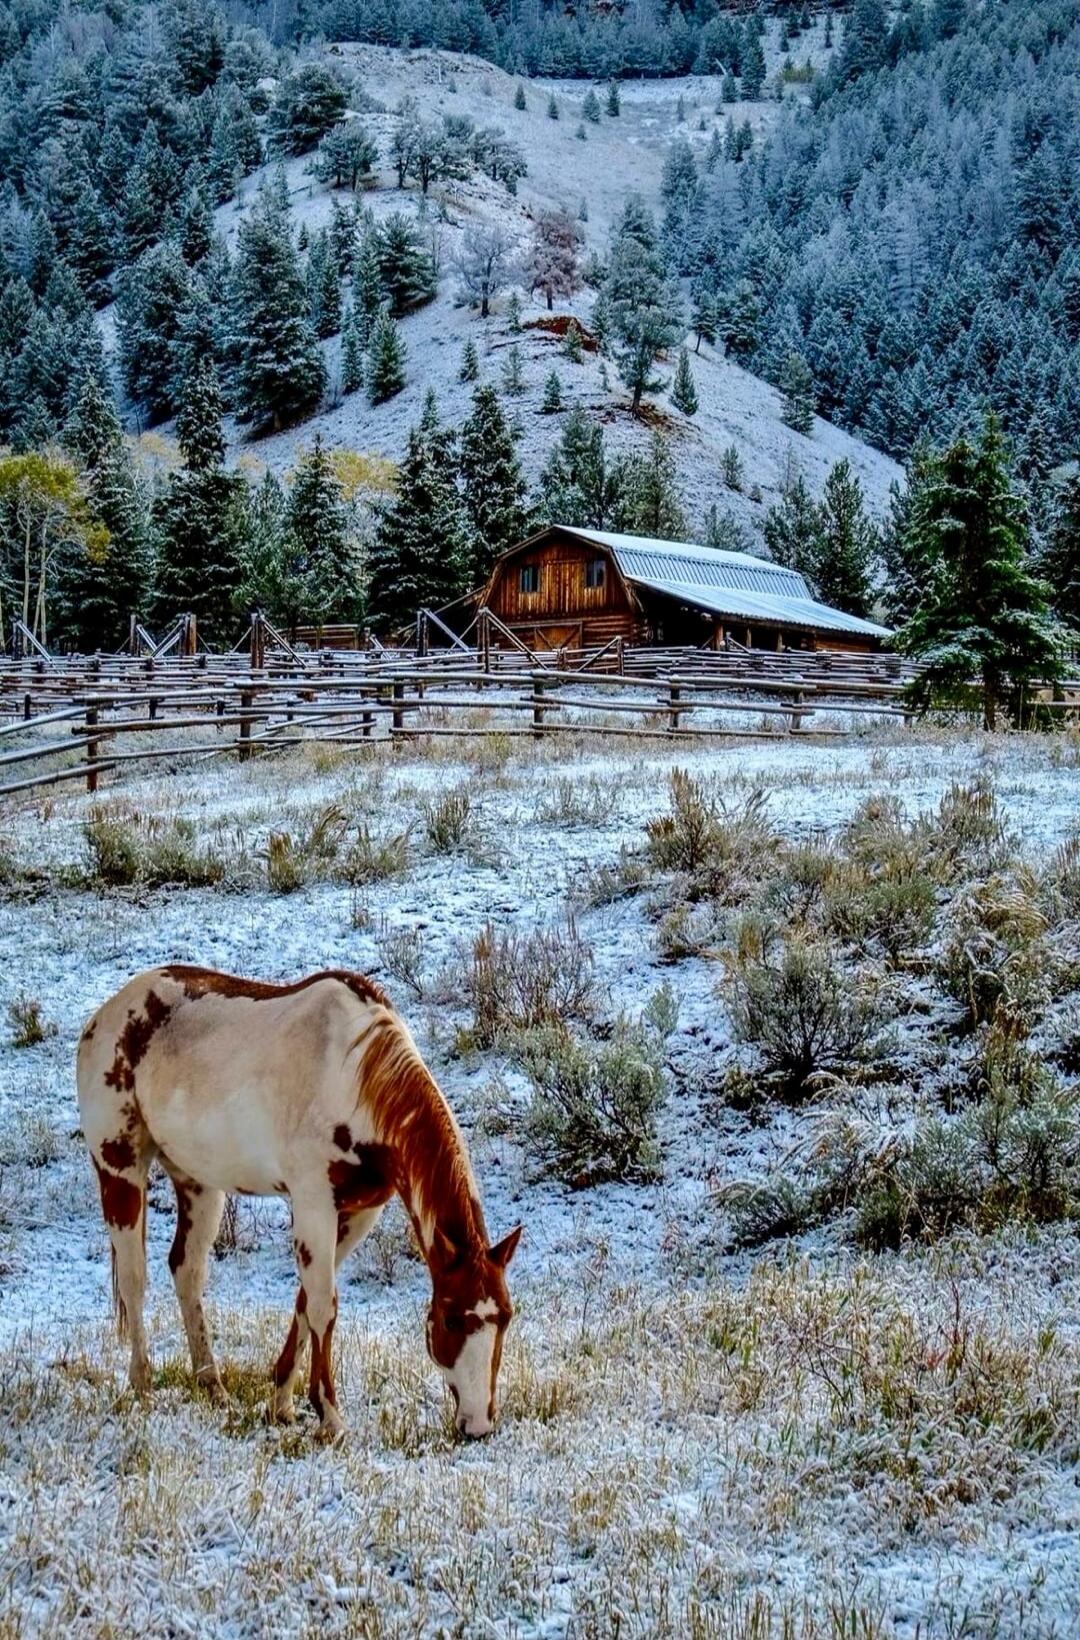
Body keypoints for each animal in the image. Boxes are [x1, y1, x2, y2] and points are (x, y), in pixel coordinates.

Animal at [76, 965, 521, 1439]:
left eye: (506, 1316)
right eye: (451, 1318)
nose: (478, 1424)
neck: (353, 1076)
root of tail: (102, 1019)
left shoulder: (359, 1211)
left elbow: (306, 1301)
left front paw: (281, 1403)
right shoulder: (313, 1202)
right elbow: (323, 1305)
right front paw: (329, 1416)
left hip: (198, 1184)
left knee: (187, 1271)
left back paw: (213, 1387)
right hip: (120, 1171)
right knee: (134, 1279)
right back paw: (142, 1388)